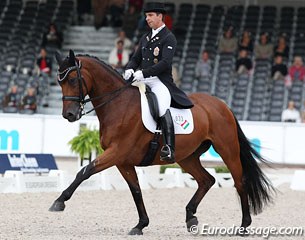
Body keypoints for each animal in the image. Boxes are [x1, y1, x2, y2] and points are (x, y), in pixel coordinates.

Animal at [49, 49, 274, 235]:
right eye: (60, 82)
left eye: (72, 79)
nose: (69, 115)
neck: (118, 105)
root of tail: (222, 105)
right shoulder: (123, 161)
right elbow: (136, 190)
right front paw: (141, 225)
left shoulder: (117, 152)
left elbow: (84, 171)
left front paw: (59, 202)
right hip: (187, 157)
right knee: (206, 180)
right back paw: (191, 217)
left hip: (227, 150)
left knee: (239, 181)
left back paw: (244, 225)